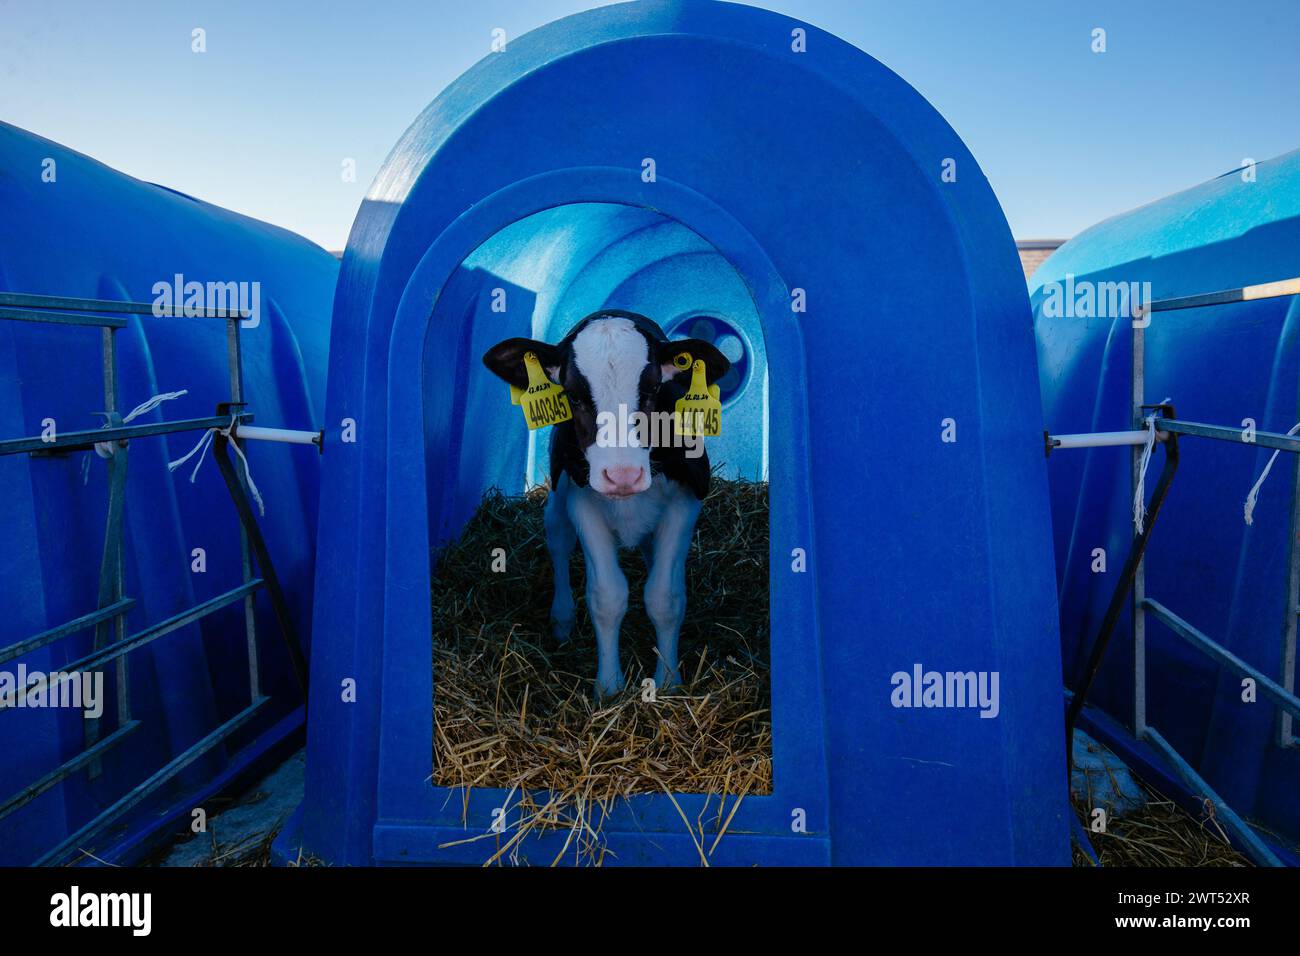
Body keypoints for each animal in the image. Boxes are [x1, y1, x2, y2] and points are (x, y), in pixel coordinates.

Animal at [488, 312, 733, 697]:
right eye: (573, 395)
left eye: (652, 390)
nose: (623, 475)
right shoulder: (582, 500)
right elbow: (607, 596)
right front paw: (609, 686)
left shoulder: (686, 500)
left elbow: (664, 596)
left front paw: (668, 682)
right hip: (560, 491)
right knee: (558, 536)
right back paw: (562, 619)